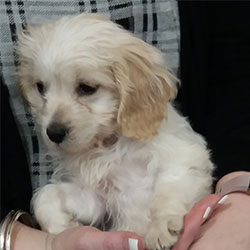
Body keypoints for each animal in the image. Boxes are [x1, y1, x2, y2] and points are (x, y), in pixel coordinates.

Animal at [17, 14, 213, 250]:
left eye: (87, 88)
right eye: (40, 87)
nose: (53, 133)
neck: (111, 145)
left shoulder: (184, 159)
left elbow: (169, 190)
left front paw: (161, 226)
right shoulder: (96, 197)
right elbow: (46, 194)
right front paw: (61, 226)